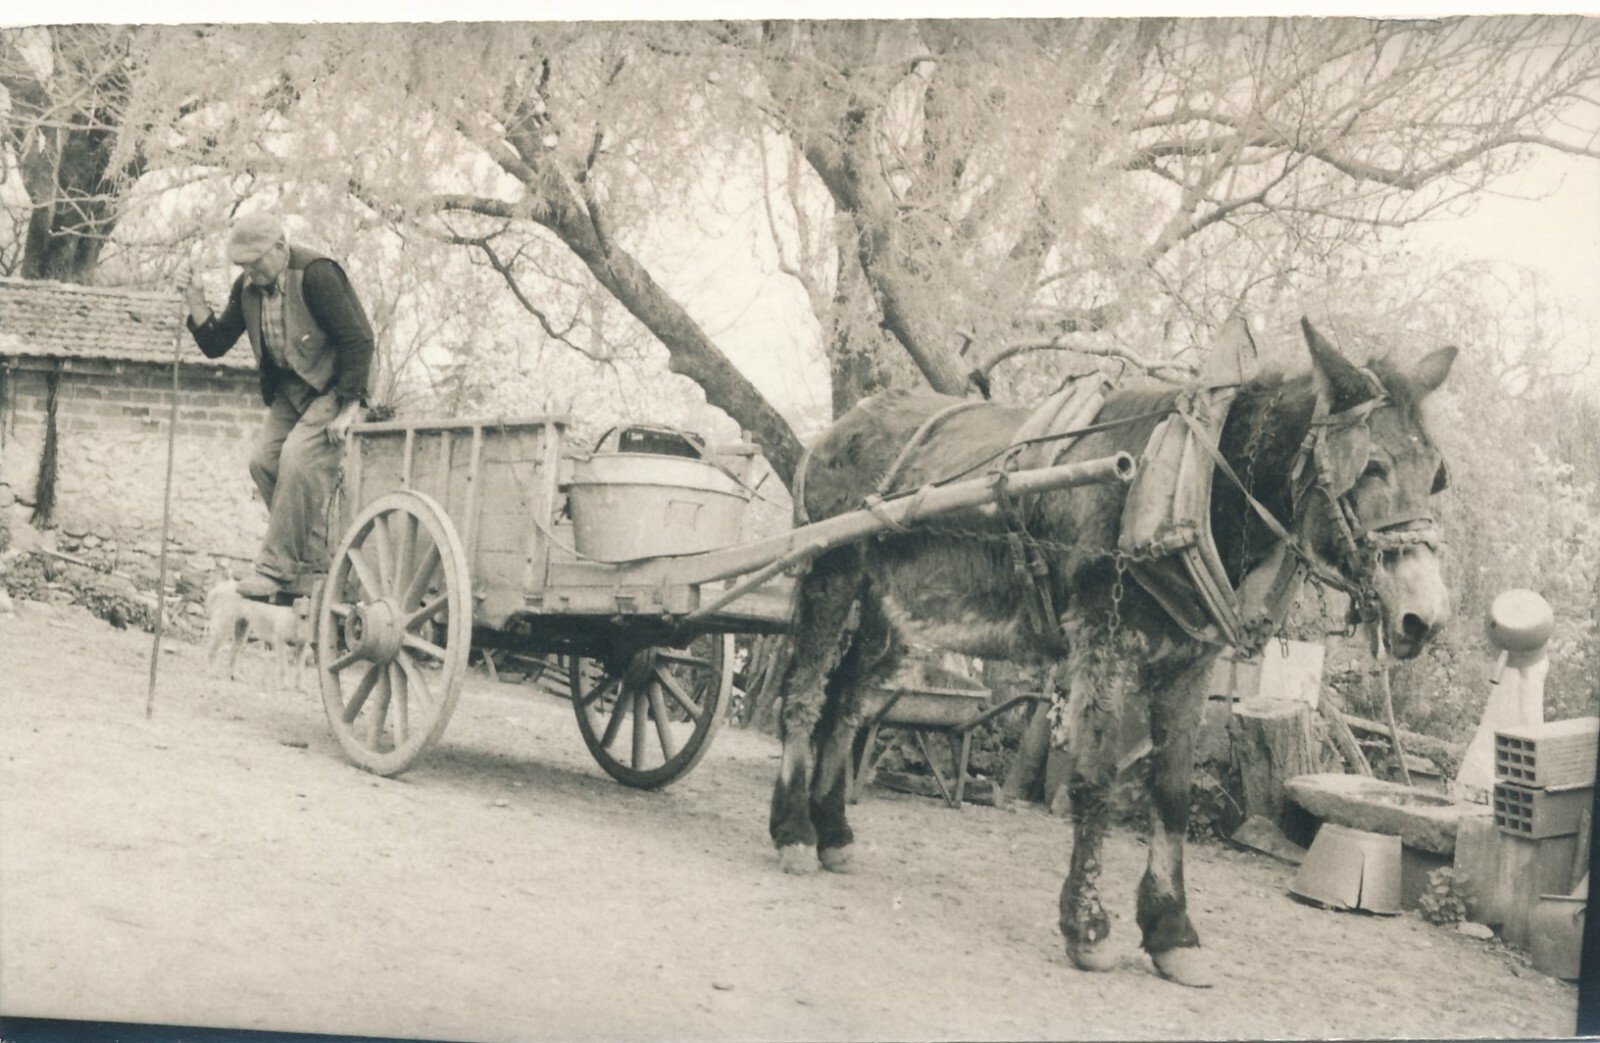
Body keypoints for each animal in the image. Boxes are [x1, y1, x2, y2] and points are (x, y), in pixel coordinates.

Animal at [767, 317, 1457, 988]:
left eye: (1434, 476)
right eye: (1371, 467)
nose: (1424, 618)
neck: (1187, 480)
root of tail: (843, 426)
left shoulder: (1189, 664)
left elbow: (1171, 795)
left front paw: (1172, 933)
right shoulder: (1104, 645)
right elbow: (1095, 779)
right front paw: (1088, 927)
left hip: (897, 615)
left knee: (845, 705)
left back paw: (832, 832)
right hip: (832, 573)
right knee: (803, 696)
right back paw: (793, 831)